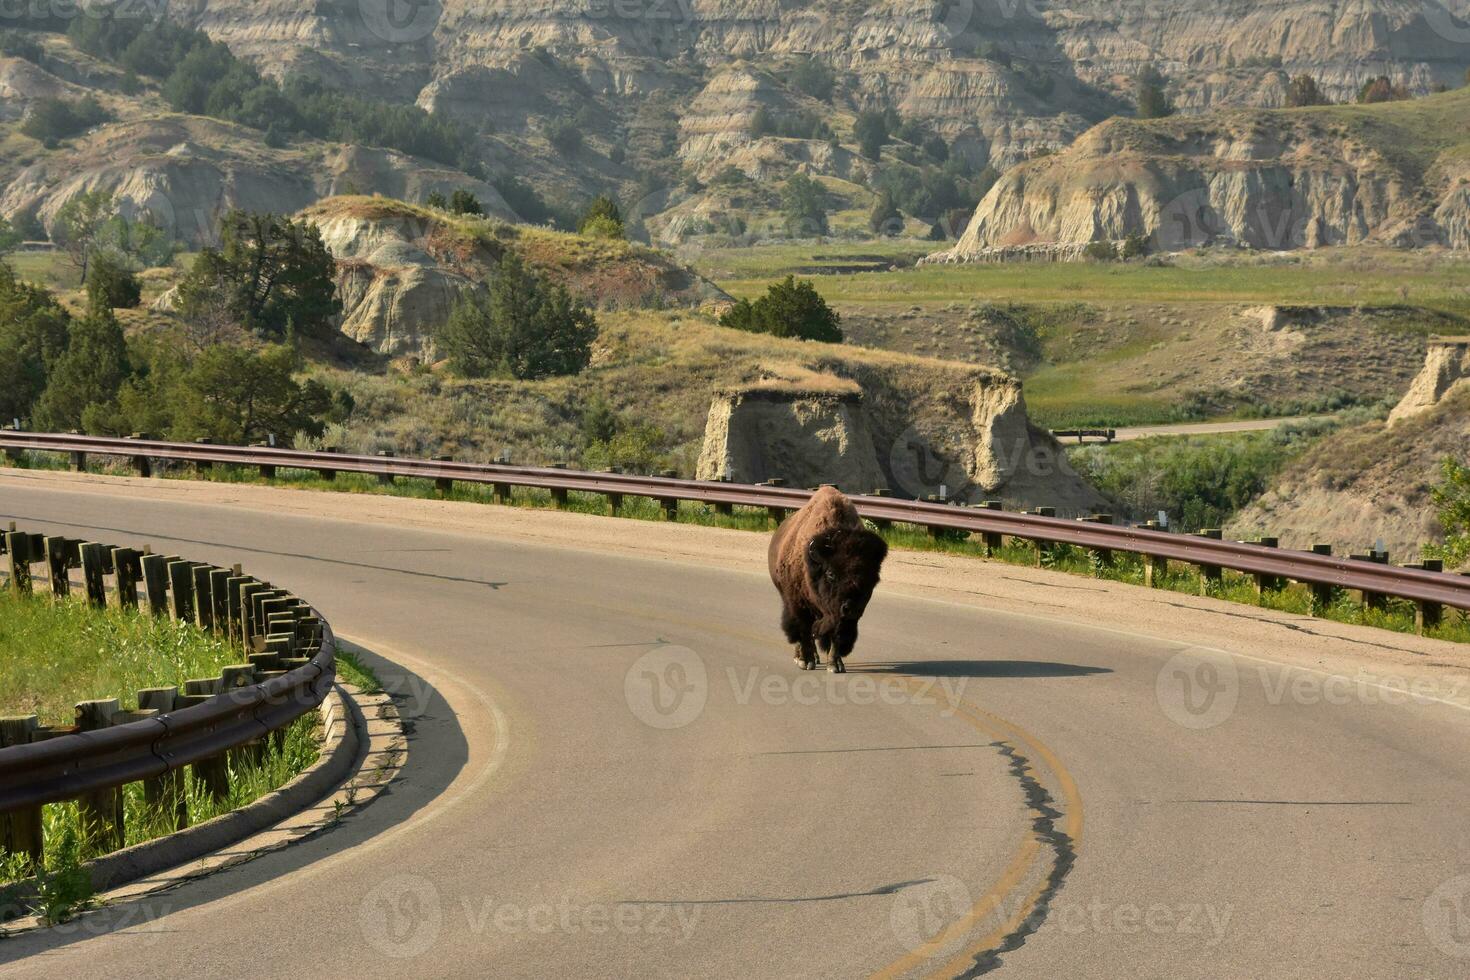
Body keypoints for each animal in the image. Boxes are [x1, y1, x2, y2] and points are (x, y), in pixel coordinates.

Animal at [770, 484, 882, 669]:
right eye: (830, 573)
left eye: (871, 578)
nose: (851, 607)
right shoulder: (799, 605)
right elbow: (804, 631)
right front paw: (805, 661)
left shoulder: (839, 616)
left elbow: (835, 635)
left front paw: (835, 665)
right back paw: (803, 657)